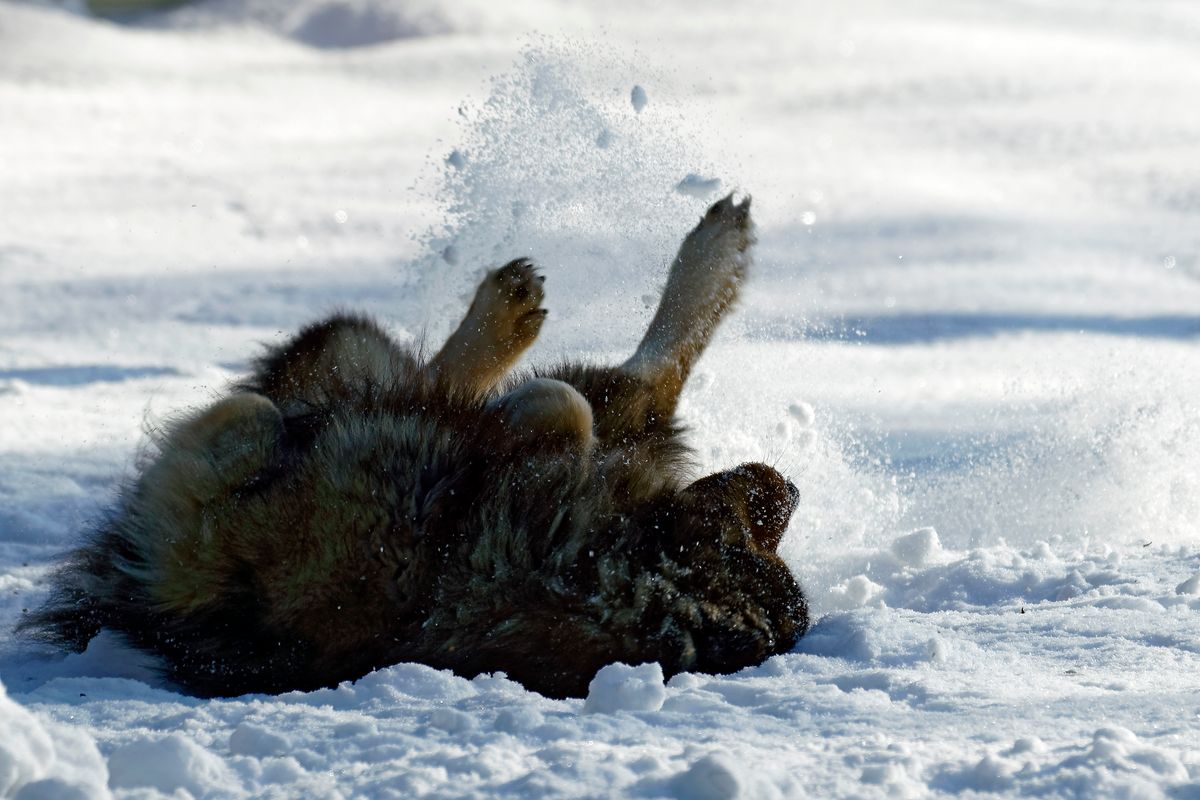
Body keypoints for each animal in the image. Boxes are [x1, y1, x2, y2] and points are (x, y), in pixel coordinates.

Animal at [21, 191, 806, 695]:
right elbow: (564, 404)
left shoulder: (191, 528)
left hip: (340, 348)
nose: (792, 488)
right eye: (756, 527)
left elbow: (251, 427)